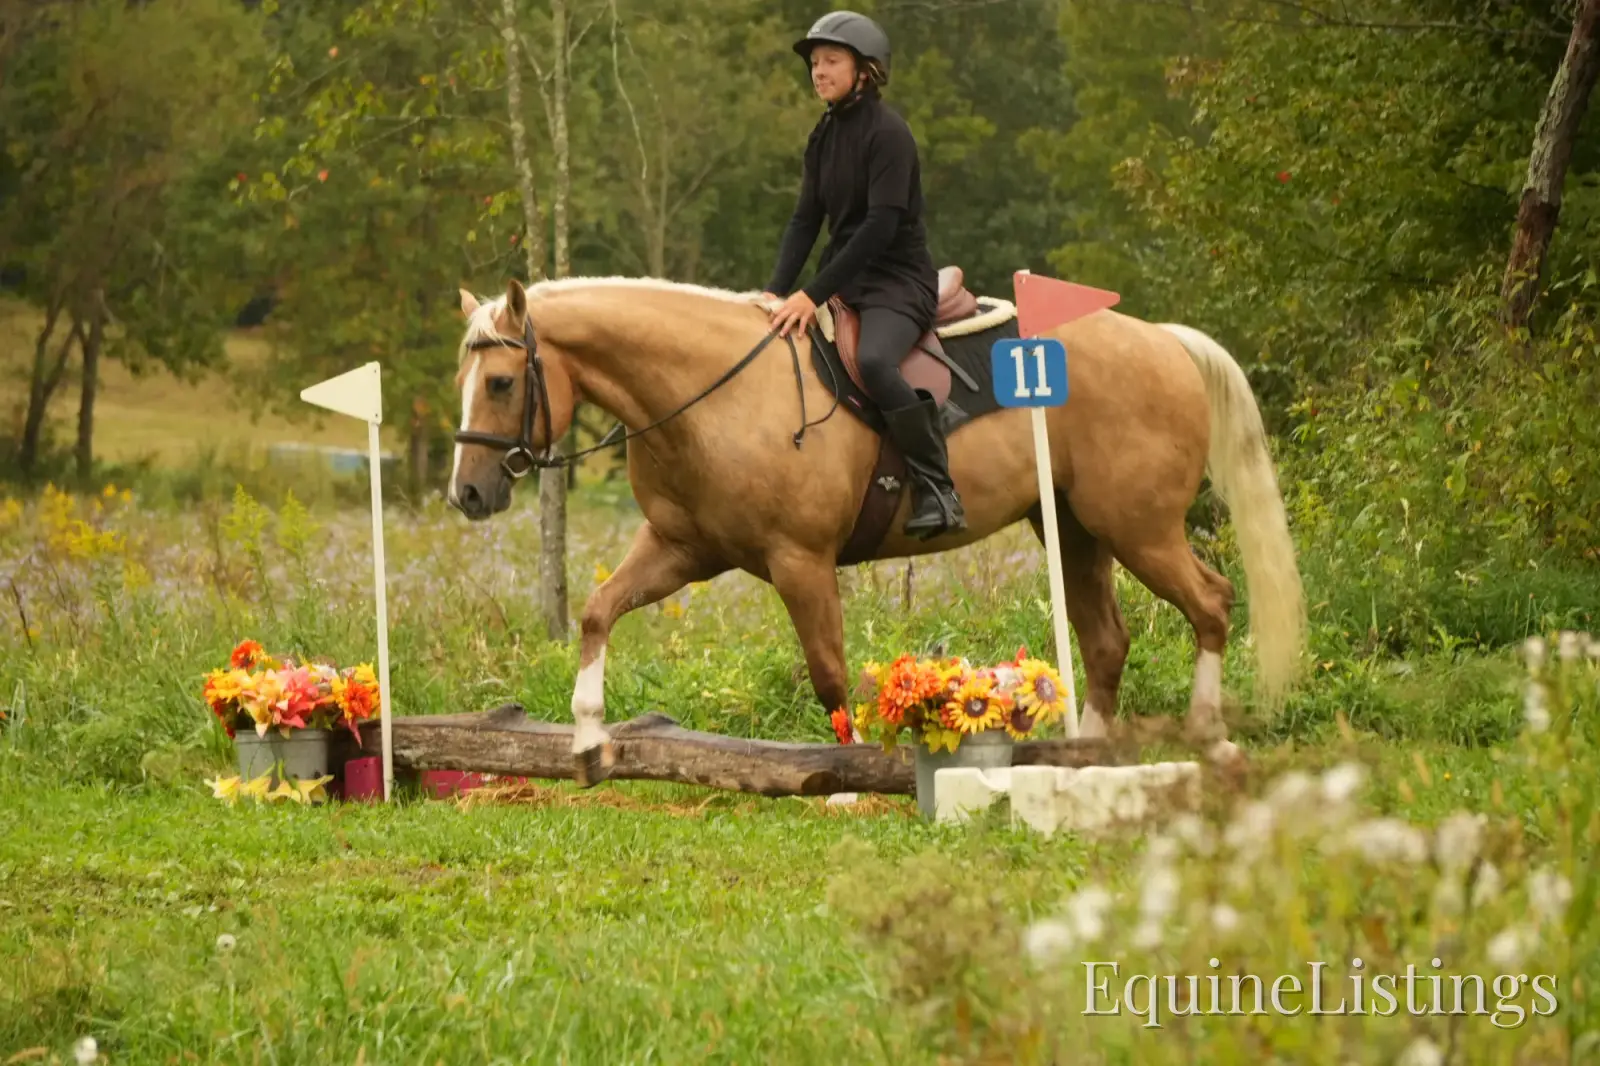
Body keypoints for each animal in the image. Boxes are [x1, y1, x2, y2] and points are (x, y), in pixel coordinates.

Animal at [446, 269, 1307, 787]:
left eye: (501, 382)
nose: (468, 494)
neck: (713, 392)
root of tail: (1163, 339)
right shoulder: (681, 550)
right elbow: (598, 612)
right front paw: (589, 742)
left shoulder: (800, 561)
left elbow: (829, 671)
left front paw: (849, 778)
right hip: (1074, 528)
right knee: (1105, 640)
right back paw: (1086, 755)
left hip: (1139, 528)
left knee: (1210, 603)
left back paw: (1208, 735)